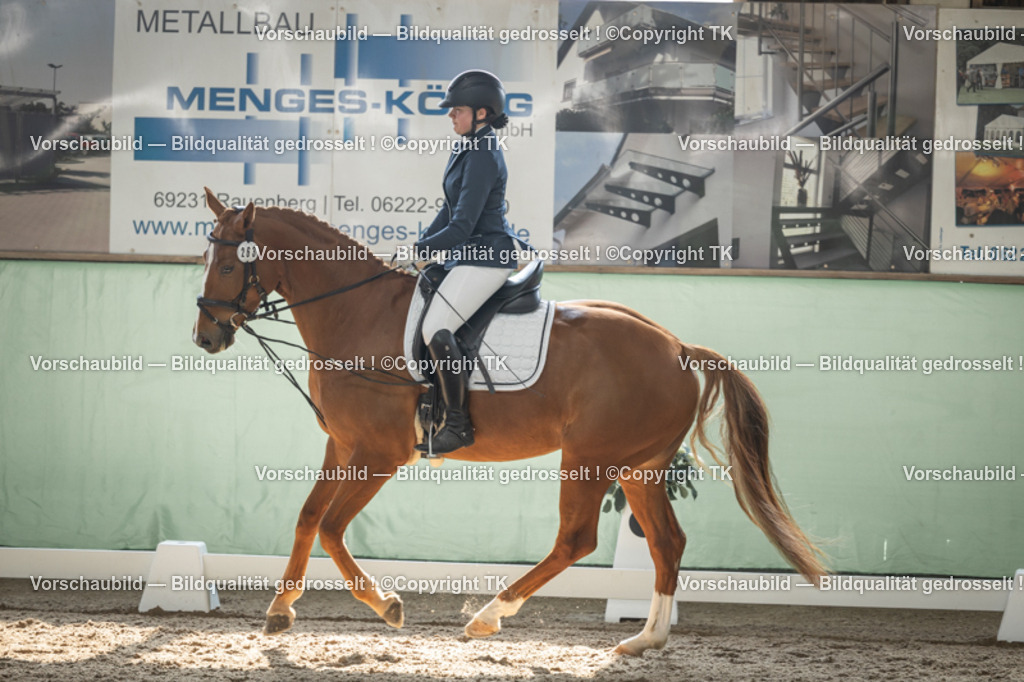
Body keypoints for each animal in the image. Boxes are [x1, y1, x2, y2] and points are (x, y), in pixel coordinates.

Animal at [192, 187, 827, 656]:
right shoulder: (343, 445)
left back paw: (489, 617)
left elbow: (331, 527)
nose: (205, 338)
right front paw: (279, 611)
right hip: (639, 467)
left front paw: (388, 606)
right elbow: (307, 518)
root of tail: (678, 348)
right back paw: (644, 640)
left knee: (576, 539)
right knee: (667, 542)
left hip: (591, 458)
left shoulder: (379, 452)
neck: (354, 312)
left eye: (225, 264)